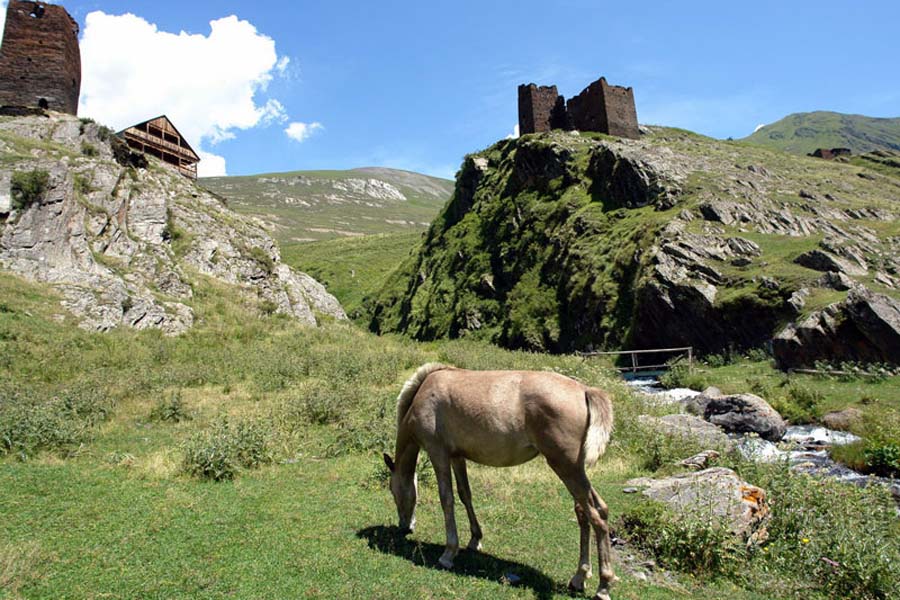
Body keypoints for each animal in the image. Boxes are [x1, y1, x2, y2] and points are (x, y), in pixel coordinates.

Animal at [380, 360, 620, 600]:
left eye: (393, 491)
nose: (405, 526)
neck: (425, 391)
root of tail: (585, 390)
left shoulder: (438, 453)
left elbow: (446, 499)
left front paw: (448, 553)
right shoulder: (457, 456)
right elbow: (465, 494)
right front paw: (475, 539)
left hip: (566, 468)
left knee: (595, 517)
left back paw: (603, 586)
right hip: (575, 470)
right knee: (590, 511)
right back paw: (580, 577)